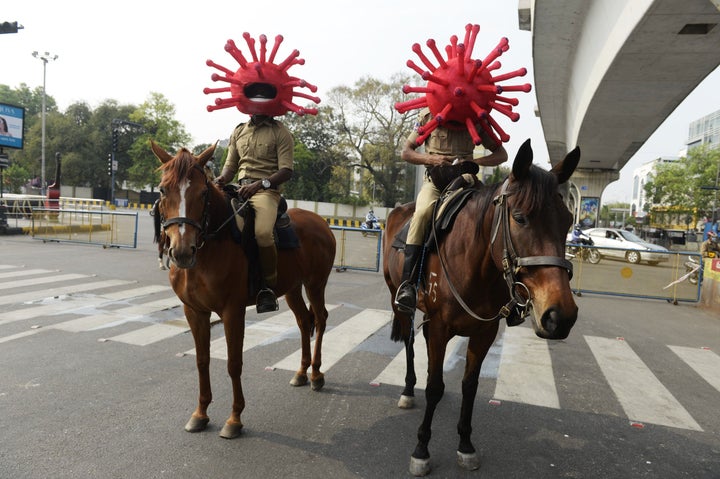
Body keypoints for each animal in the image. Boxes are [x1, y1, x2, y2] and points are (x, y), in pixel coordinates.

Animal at [150, 141, 336, 440]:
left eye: (203, 192)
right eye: (163, 190)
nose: (181, 251)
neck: (211, 245)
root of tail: (320, 221)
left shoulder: (232, 312)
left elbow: (233, 363)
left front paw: (235, 418)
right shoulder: (194, 312)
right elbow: (202, 360)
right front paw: (200, 413)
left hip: (316, 284)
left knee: (319, 319)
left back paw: (317, 375)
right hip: (293, 288)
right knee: (303, 321)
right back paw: (301, 371)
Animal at [382, 139, 580, 476]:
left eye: (567, 221)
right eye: (520, 217)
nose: (560, 316)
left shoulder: (484, 332)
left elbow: (469, 386)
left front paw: (465, 444)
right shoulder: (440, 327)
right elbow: (434, 387)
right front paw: (422, 449)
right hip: (398, 299)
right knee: (408, 341)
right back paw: (408, 390)